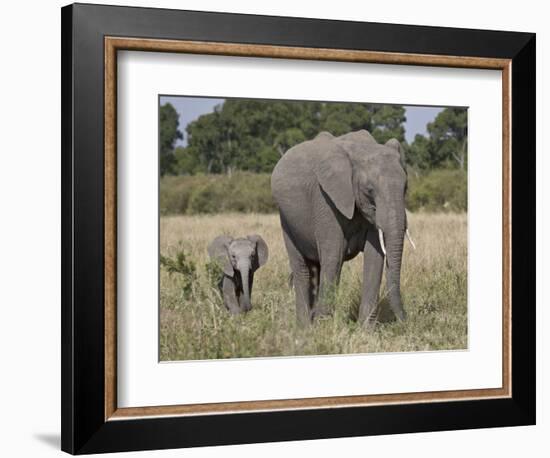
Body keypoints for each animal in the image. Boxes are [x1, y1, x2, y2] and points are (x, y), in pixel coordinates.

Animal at [272, 131, 414, 328]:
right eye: (369, 190)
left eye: (405, 187)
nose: (406, 321)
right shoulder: (325, 200)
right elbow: (334, 256)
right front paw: (323, 328)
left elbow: (375, 257)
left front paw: (365, 330)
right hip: (286, 219)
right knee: (303, 268)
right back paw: (305, 327)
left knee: (316, 268)